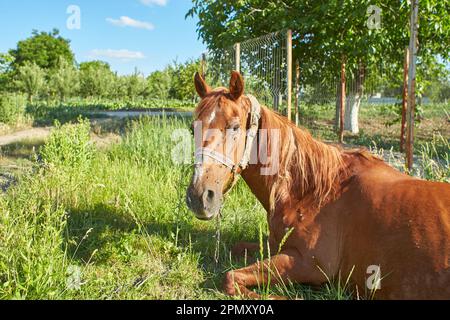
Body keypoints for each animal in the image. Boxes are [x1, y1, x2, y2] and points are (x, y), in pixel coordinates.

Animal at [185, 70, 448, 300]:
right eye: (192, 128)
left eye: (235, 126)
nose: (199, 196)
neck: (314, 192)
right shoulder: (275, 245)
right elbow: (236, 250)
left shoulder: (307, 263)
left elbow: (230, 278)